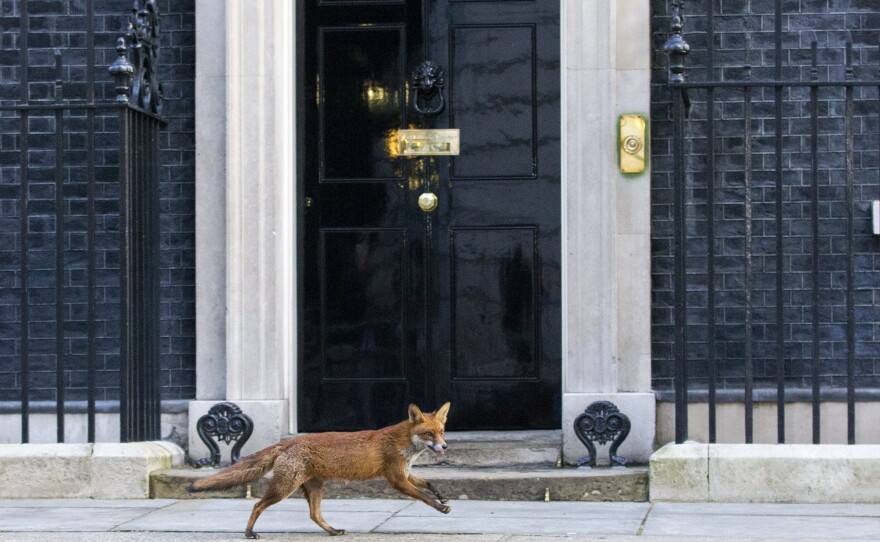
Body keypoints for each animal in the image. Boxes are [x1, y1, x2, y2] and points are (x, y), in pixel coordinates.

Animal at [193, 404, 454, 540]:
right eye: (429, 434)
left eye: (442, 432)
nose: (444, 447)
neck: (404, 444)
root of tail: (288, 443)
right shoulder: (396, 479)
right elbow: (423, 497)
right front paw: (439, 507)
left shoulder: (405, 474)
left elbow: (429, 484)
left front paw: (442, 497)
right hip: (283, 489)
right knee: (257, 505)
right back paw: (248, 532)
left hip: (315, 488)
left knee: (314, 515)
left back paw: (333, 531)